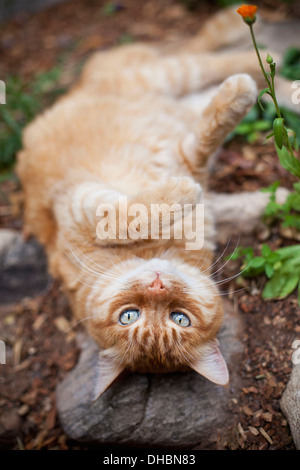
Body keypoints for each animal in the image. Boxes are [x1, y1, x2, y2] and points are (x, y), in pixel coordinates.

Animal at [17, 6, 290, 396]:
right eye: (129, 316)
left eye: (180, 318)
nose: (157, 285)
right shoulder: (85, 201)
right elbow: (131, 215)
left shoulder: (183, 161)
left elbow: (207, 136)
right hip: (167, 81)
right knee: (208, 69)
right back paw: (259, 72)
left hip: (162, 77)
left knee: (203, 54)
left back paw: (255, 52)